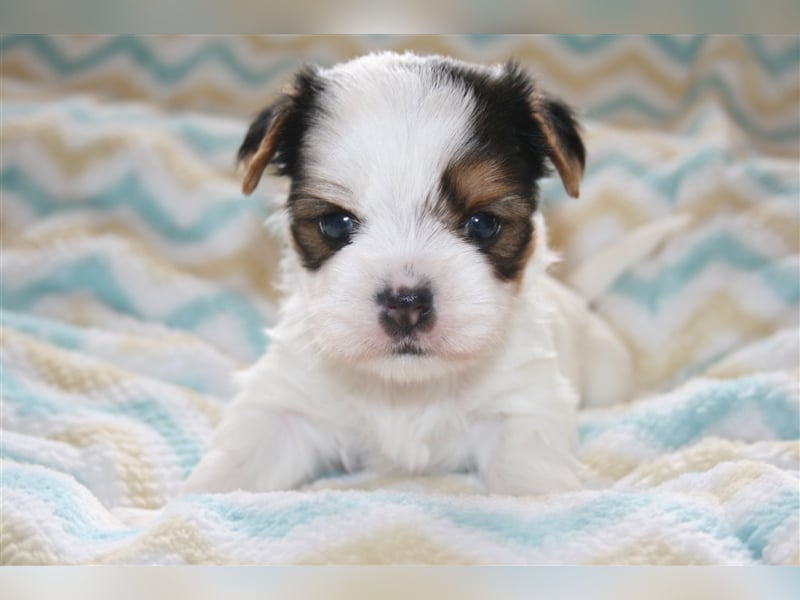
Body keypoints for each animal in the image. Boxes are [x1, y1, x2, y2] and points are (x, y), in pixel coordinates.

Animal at [184, 51, 636, 494]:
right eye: (335, 224)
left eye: (482, 224)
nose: (406, 303)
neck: (408, 391)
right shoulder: (287, 401)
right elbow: (239, 462)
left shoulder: (525, 403)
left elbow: (531, 474)